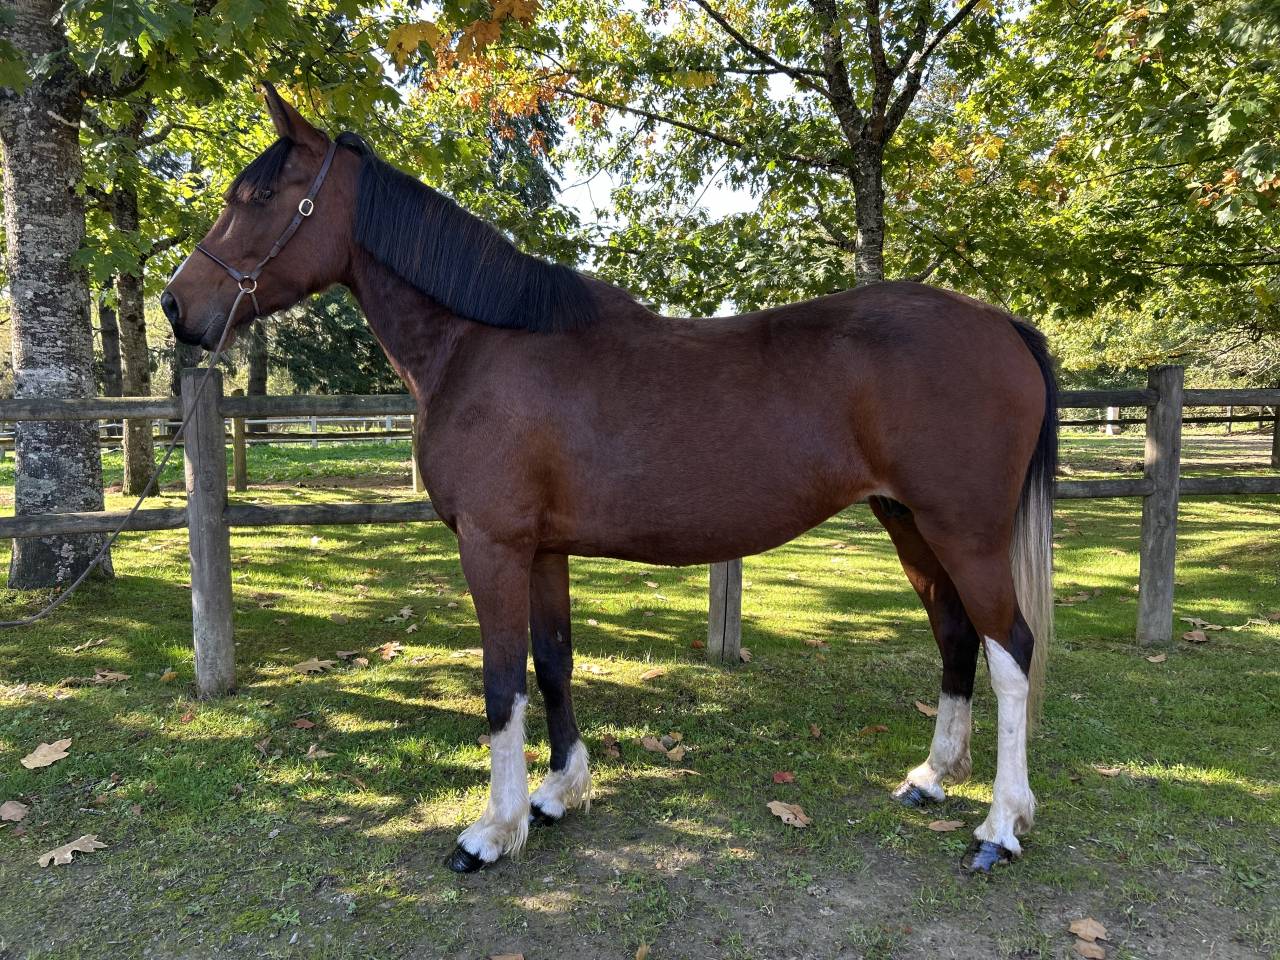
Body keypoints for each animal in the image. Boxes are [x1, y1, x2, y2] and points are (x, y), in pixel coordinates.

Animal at [162, 86, 1057, 875]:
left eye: (259, 196)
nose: (175, 307)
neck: (480, 343)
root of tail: (1001, 323)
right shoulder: (542, 550)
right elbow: (553, 663)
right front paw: (559, 794)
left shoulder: (492, 546)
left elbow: (501, 683)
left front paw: (494, 831)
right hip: (907, 521)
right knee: (956, 638)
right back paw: (933, 780)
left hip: (963, 532)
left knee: (1012, 651)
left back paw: (1000, 826)